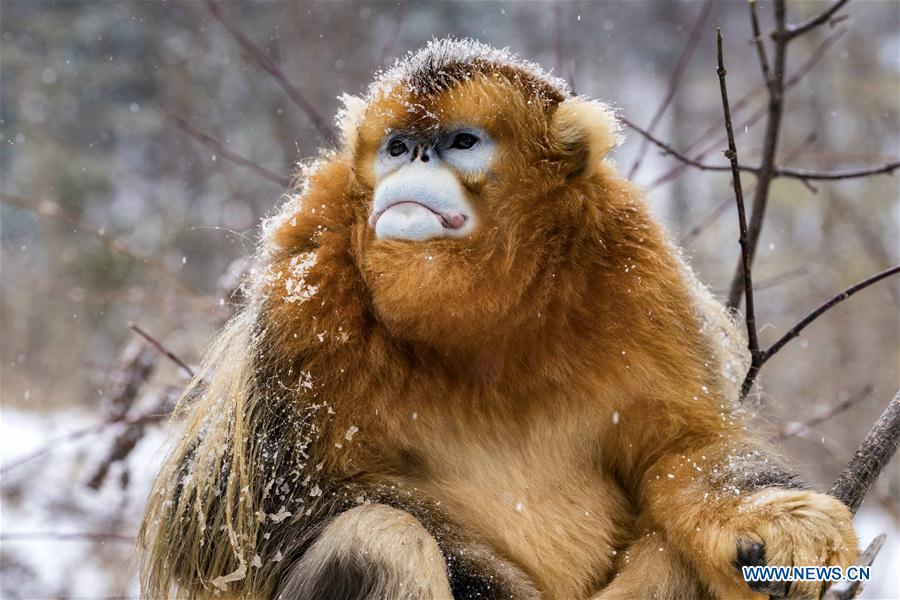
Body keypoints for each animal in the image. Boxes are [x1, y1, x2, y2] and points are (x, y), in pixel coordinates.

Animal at [139, 39, 859, 600]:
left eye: (460, 143)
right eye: (398, 146)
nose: (414, 163)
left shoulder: (637, 268)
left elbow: (684, 448)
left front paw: (769, 517)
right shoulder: (304, 282)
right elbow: (242, 524)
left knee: (673, 555)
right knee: (380, 538)